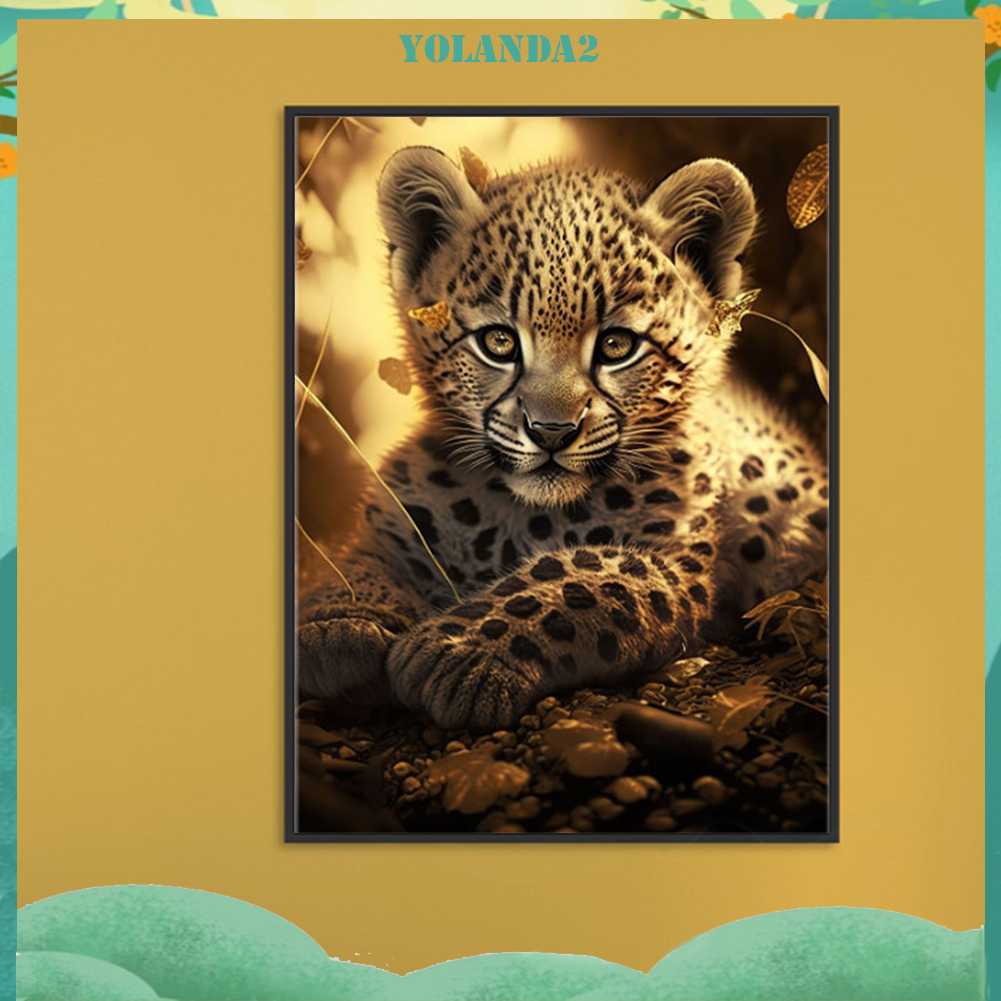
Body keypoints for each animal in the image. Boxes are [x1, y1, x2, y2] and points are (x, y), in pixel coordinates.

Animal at [297, 145, 829, 732]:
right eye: (498, 342)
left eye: (617, 345)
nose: (552, 430)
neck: (518, 517)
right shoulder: (394, 522)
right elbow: (362, 558)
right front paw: (340, 622)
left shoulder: (671, 560)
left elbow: (579, 573)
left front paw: (458, 651)